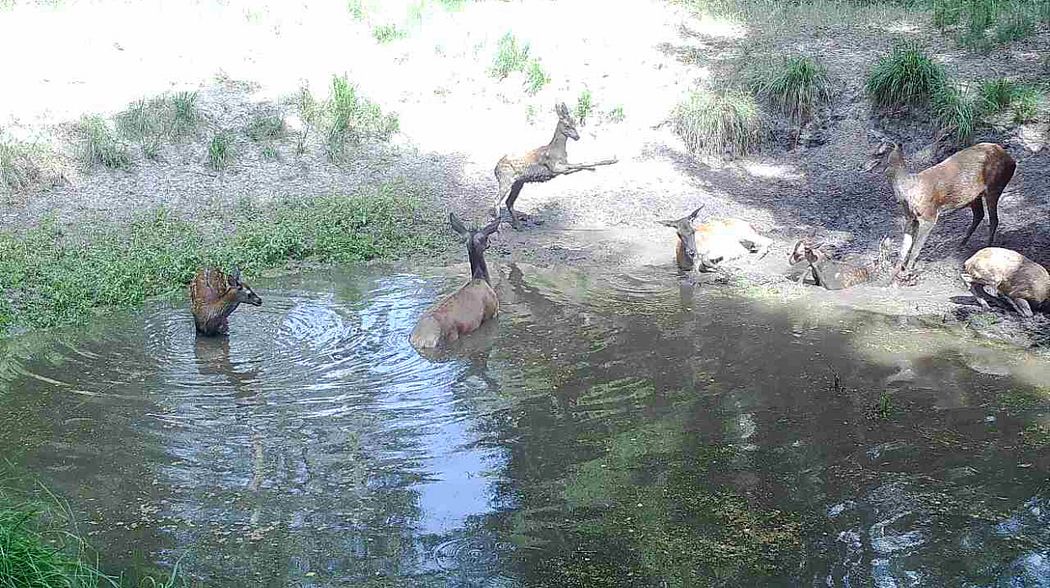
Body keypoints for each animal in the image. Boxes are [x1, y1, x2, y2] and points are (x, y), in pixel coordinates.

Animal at [409, 211, 499, 348]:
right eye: (485, 237)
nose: (490, 242)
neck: (481, 278)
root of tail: (420, 339)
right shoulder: (492, 313)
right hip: (453, 334)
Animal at [495, 100, 617, 229]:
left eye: (574, 123)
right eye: (567, 125)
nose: (577, 137)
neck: (557, 150)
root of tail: (495, 170)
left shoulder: (562, 168)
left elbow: (577, 166)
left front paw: (599, 166)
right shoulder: (554, 167)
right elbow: (580, 163)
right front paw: (611, 161)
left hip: (518, 183)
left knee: (508, 201)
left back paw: (518, 225)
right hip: (506, 180)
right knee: (497, 200)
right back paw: (500, 226)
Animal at [860, 139, 1016, 283]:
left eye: (879, 153)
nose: (862, 165)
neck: (911, 190)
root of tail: (1011, 160)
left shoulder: (929, 216)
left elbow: (915, 248)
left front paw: (907, 272)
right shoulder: (910, 218)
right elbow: (903, 248)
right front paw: (892, 275)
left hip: (995, 186)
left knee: (994, 219)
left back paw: (987, 246)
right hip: (973, 196)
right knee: (979, 215)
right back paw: (961, 245)